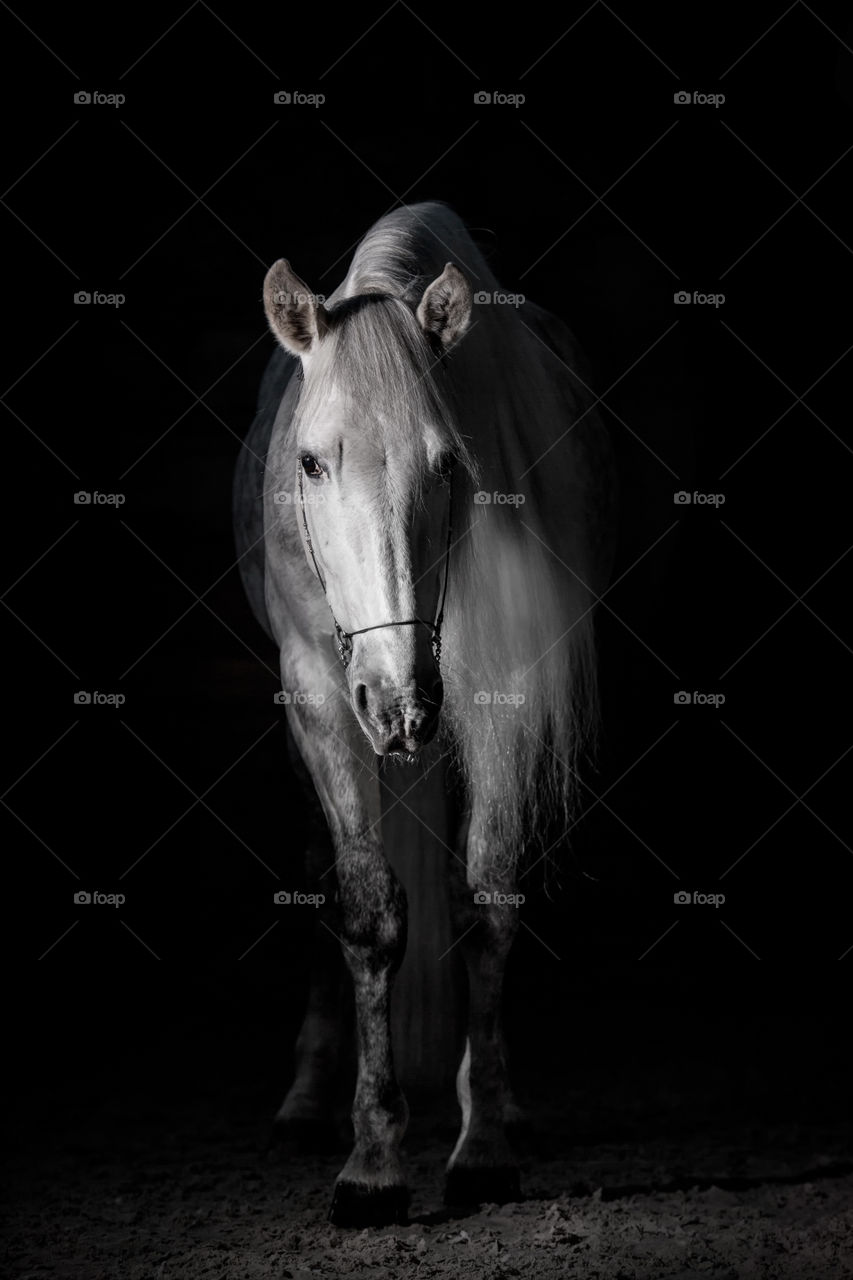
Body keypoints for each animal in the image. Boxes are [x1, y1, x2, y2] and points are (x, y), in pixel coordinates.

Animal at [233, 201, 616, 1227]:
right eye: (310, 463)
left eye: (448, 463)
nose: (398, 700)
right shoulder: (321, 700)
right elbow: (369, 916)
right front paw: (371, 1161)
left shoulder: (502, 700)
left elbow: (485, 903)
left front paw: (480, 1145)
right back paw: (302, 1101)